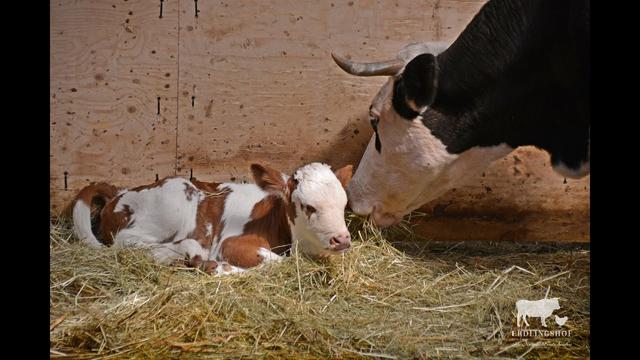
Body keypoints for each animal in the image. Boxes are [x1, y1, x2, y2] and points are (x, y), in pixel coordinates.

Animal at [70, 162, 356, 274]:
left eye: (343, 204)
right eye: (308, 206)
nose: (342, 239)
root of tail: (120, 192)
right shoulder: (230, 243)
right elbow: (276, 263)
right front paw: (219, 268)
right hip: (176, 200)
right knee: (125, 242)